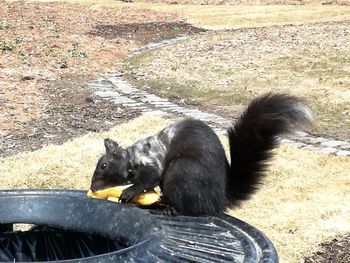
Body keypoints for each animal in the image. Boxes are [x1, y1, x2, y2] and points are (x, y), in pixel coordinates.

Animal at [89, 94, 312, 217]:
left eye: (103, 165)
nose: (92, 187)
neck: (131, 158)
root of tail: (218, 200)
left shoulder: (151, 162)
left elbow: (148, 178)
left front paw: (129, 192)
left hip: (181, 172)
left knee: (190, 208)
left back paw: (172, 208)